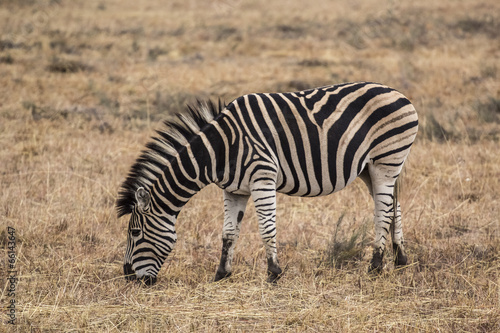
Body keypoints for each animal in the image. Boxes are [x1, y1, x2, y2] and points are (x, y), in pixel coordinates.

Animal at [117, 81, 418, 284]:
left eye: (135, 233)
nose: (128, 276)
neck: (220, 150)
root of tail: (398, 93)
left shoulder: (262, 176)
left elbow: (267, 229)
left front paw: (273, 273)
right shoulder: (233, 190)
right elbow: (229, 233)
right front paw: (221, 274)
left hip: (385, 160)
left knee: (383, 211)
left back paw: (376, 266)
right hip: (370, 167)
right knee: (393, 206)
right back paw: (400, 261)